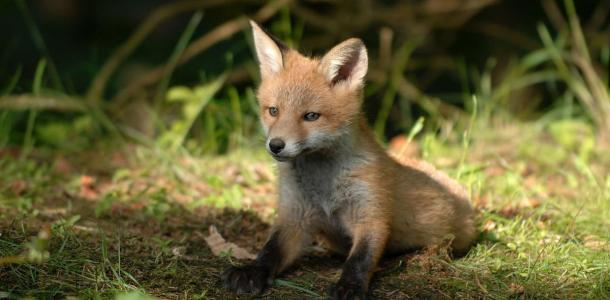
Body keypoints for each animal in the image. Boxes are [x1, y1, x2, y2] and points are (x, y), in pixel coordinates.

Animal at [223, 20, 476, 298]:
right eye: (273, 111)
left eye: (311, 116)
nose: (276, 145)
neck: (323, 183)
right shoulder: (294, 216)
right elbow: (270, 250)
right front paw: (251, 271)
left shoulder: (371, 213)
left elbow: (360, 258)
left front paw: (349, 286)